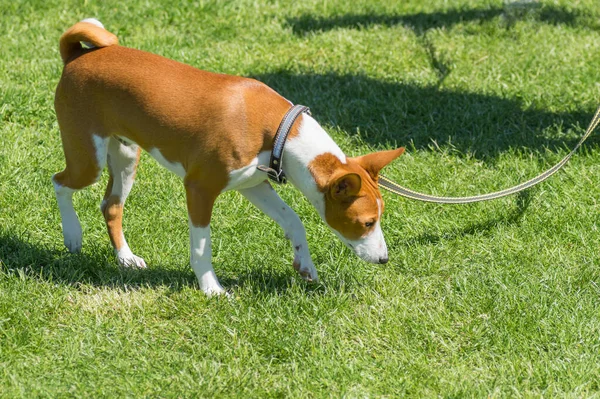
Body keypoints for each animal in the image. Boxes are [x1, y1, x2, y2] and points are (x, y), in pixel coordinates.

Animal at [54, 18, 406, 296]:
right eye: (367, 222)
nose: (385, 259)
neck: (280, 131)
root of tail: (77, 55)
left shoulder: (254, 184)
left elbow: (293, 220)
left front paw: (304, 264)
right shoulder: (199, 188)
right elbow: (201, 247)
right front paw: (211, 289)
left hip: (126, 156)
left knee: (111, 205)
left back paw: (125, 258)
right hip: (89, 160)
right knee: (59, 182)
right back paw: (72, 233)